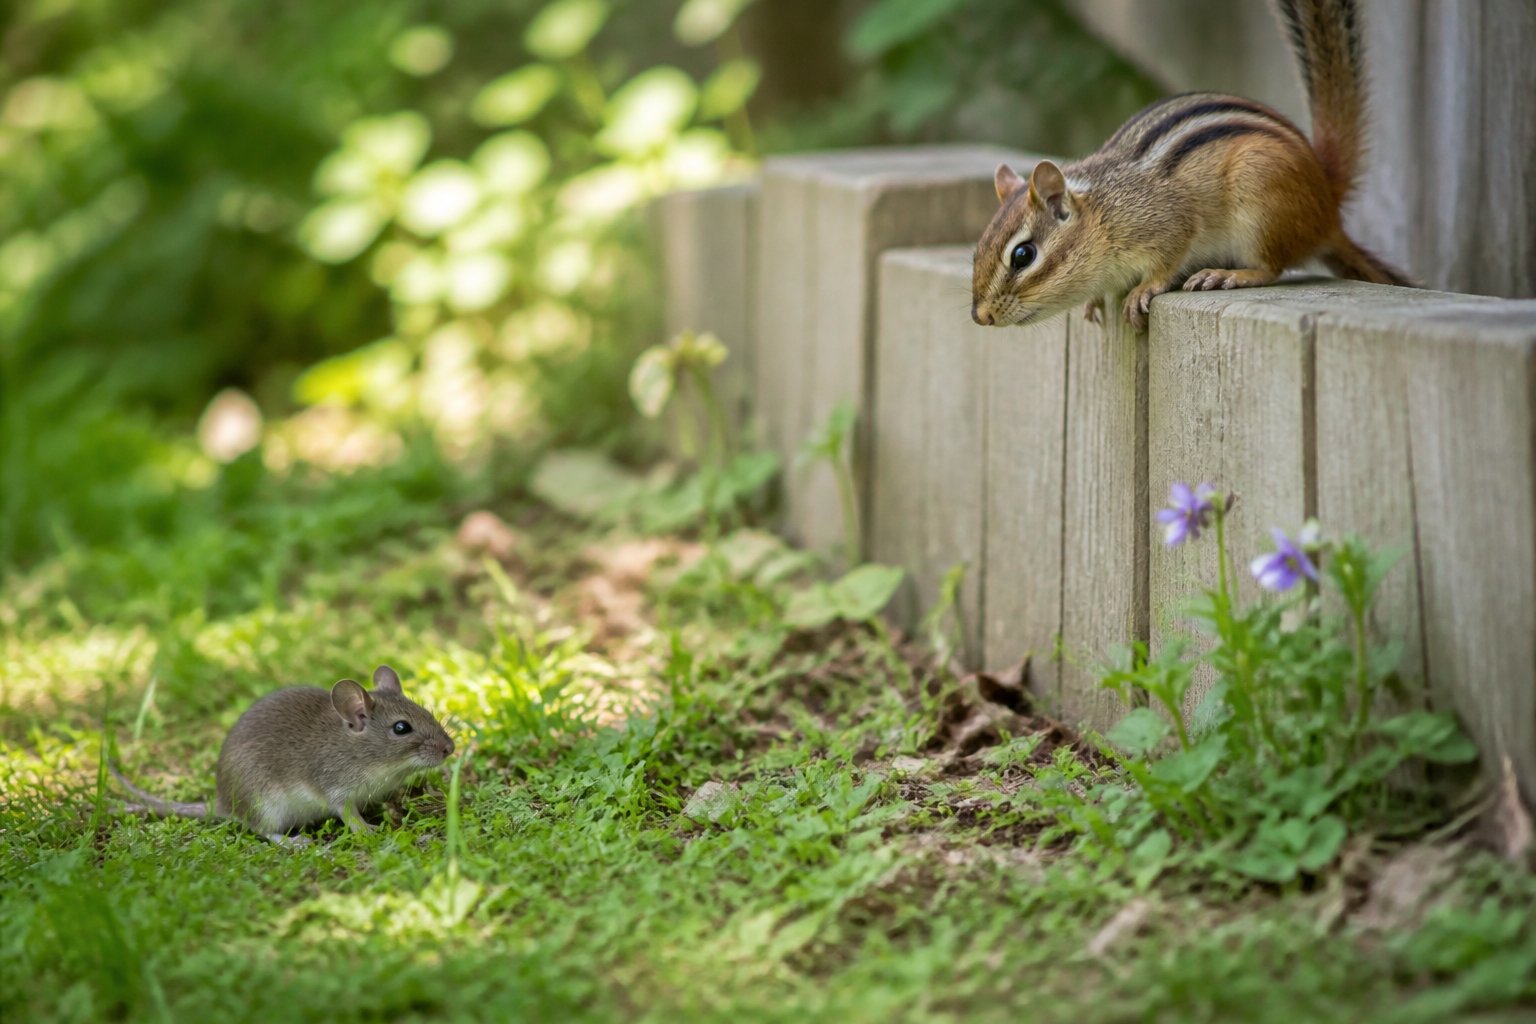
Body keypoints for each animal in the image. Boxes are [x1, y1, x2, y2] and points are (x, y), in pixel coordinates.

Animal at [970, 0, 1412, 332]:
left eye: (1023, 255)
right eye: (977, 251)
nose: (981, 316)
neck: (1104, 211)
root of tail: (1324, 193)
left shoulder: (1166, 222)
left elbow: (1169, 256)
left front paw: (1143, 290)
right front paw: (1094, 300)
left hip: (1261, 198)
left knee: (1272, 266)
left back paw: (1230, 275)